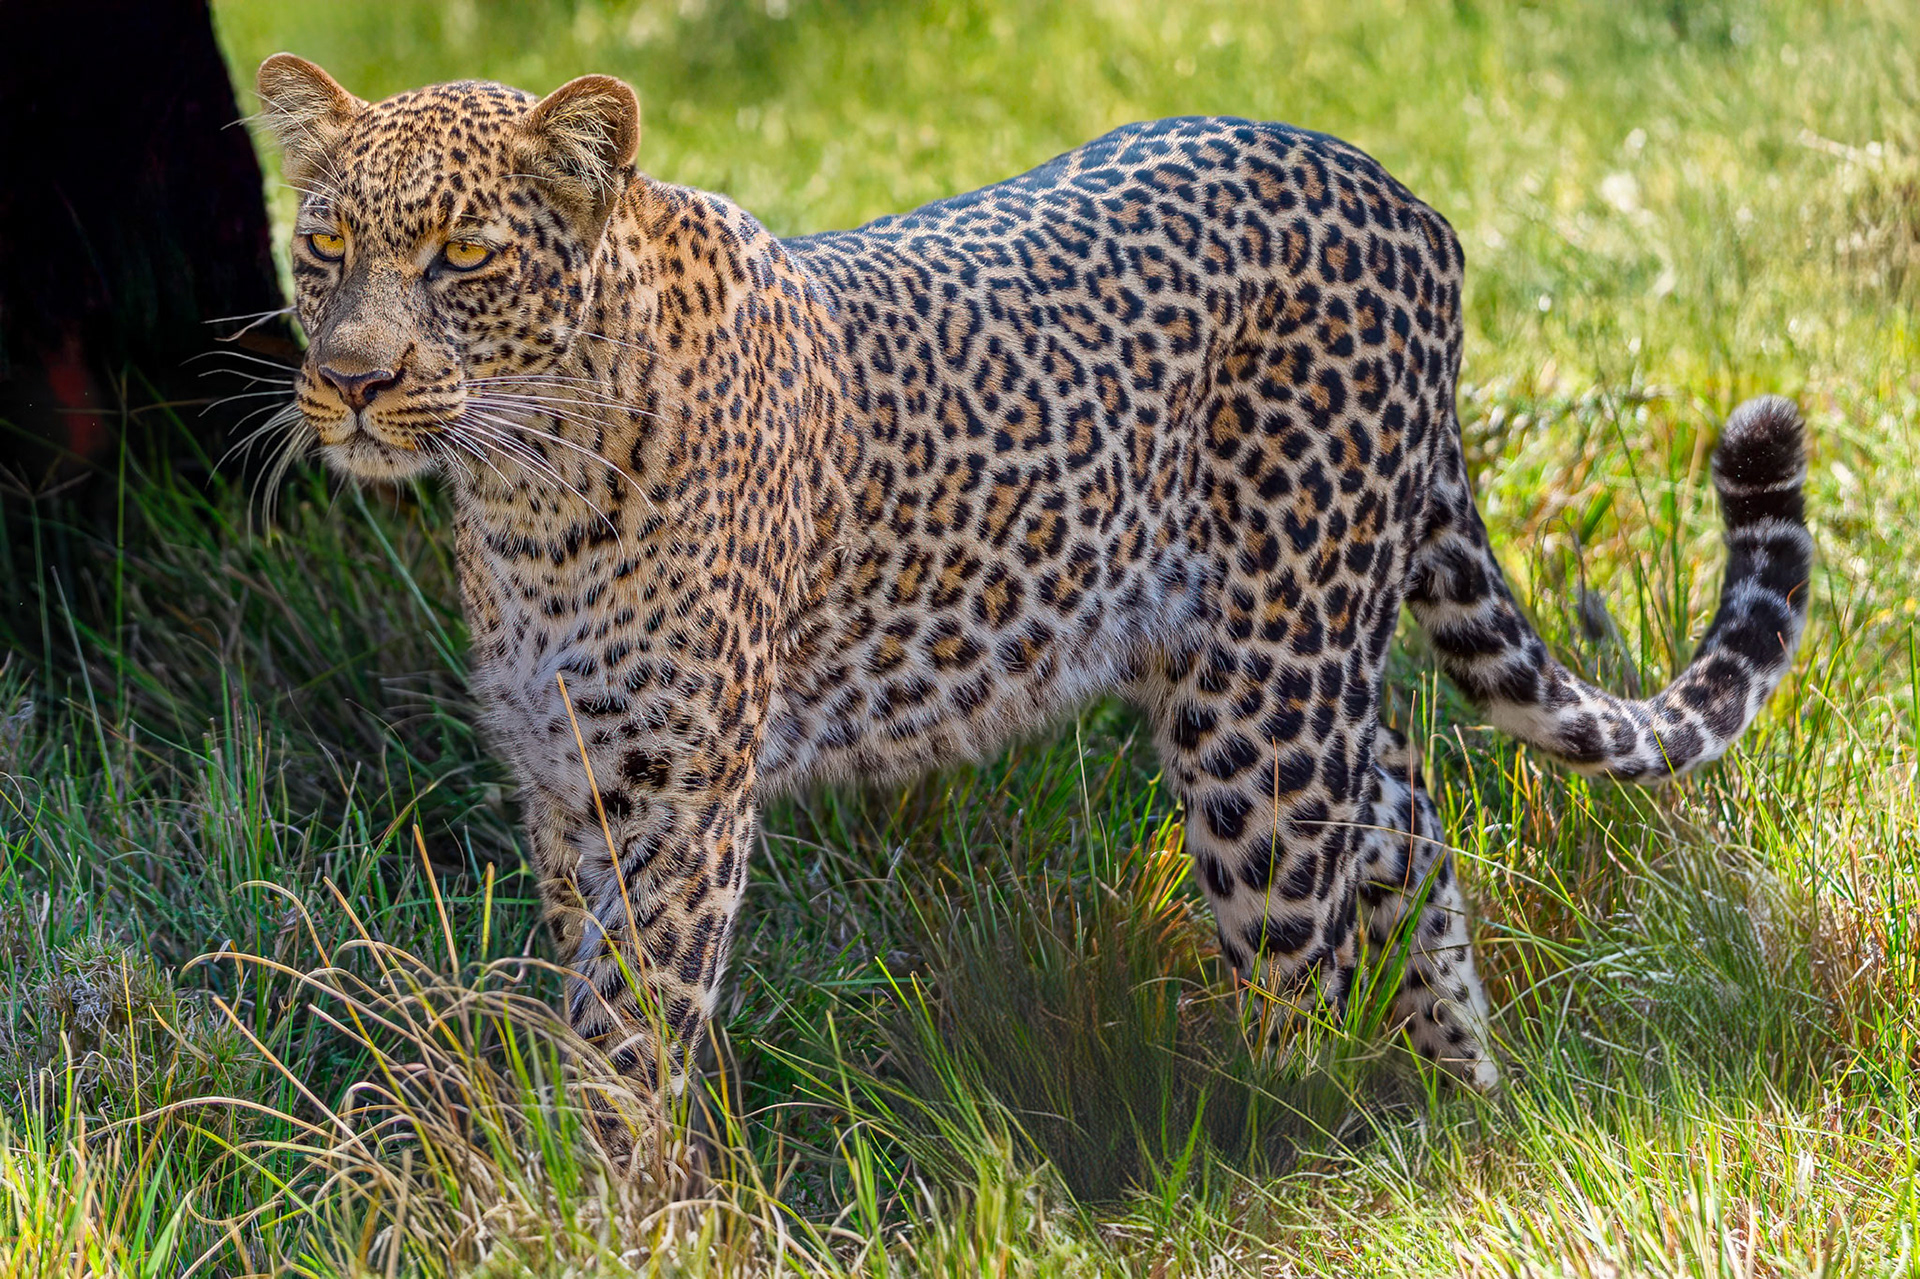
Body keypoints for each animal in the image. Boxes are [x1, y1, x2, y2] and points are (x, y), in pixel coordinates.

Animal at [253, 53, 1813, 1162]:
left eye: (463, 258)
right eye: (322, 248)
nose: (352, 380)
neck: (525, 491)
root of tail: (1396, 188)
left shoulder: (679, 793)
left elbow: (631, 1036)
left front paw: (610, 1206)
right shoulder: (567, 782)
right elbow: (584, 1015)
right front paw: (583, 1192)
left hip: (1264, 705)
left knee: (1304, 948)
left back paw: (1296, 1168)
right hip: (1268, 666)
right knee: (1409, 810)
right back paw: (1464, 1100)